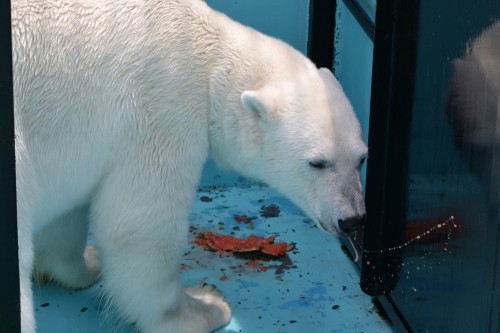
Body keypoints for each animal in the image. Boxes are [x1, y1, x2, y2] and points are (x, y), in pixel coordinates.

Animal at [11, 0, 368, 332]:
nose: (352, 219)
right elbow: (139, 226)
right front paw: (203, 308)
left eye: (361, 158)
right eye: (318, 162)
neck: (210, 58)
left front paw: (86, 262)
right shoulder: (161, 108)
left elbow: (66, 212)